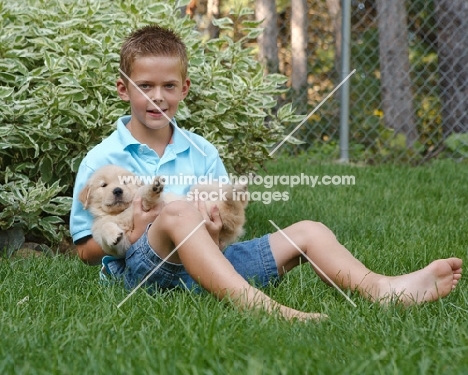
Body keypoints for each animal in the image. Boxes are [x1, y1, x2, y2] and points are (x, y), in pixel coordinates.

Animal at [79, 165, 249, 258]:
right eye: (104, 185)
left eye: (125, 182)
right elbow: (106, 231)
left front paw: (152, 188)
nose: (117, 190)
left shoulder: (151, 203)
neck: (121, 213)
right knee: (233, 209)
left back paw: (238, 188)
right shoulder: (122, 247)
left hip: (202, 188)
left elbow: (143, 195)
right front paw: (114, 235)